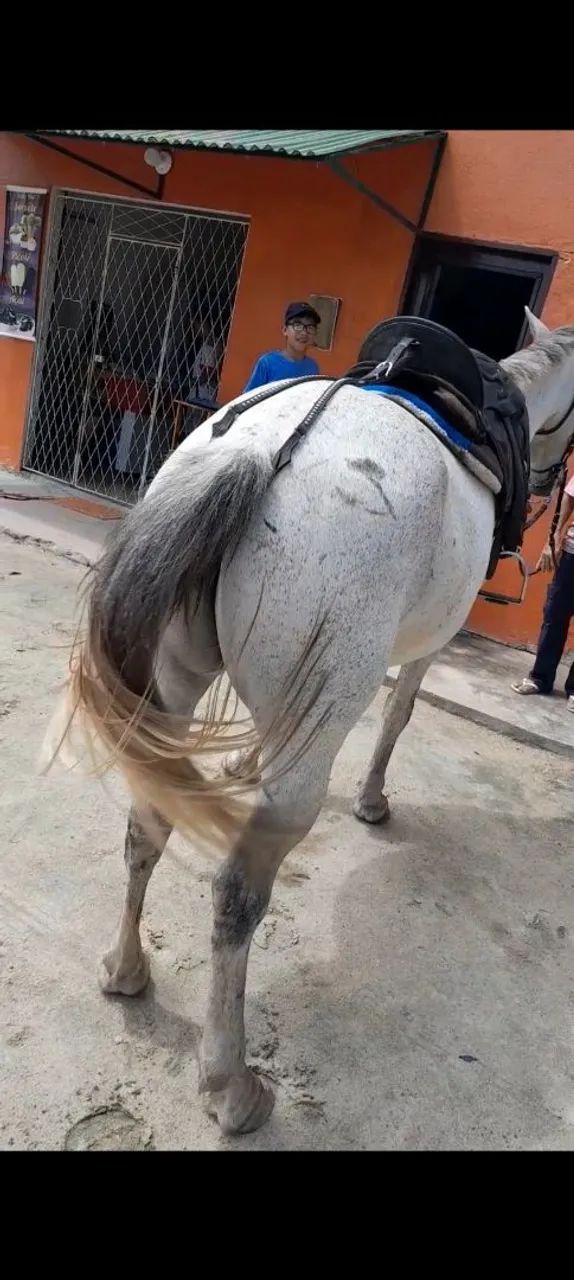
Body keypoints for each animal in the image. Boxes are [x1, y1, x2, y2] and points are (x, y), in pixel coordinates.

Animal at [48, 306, 574, 1136]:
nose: (556, 486)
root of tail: (254, 457)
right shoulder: (432, 638)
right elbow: (400, 712)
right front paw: (372, 801)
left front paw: (242, 763)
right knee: (237, 895)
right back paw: (230, 1085)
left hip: (172, 685)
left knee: (146, 826)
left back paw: (126, 969)